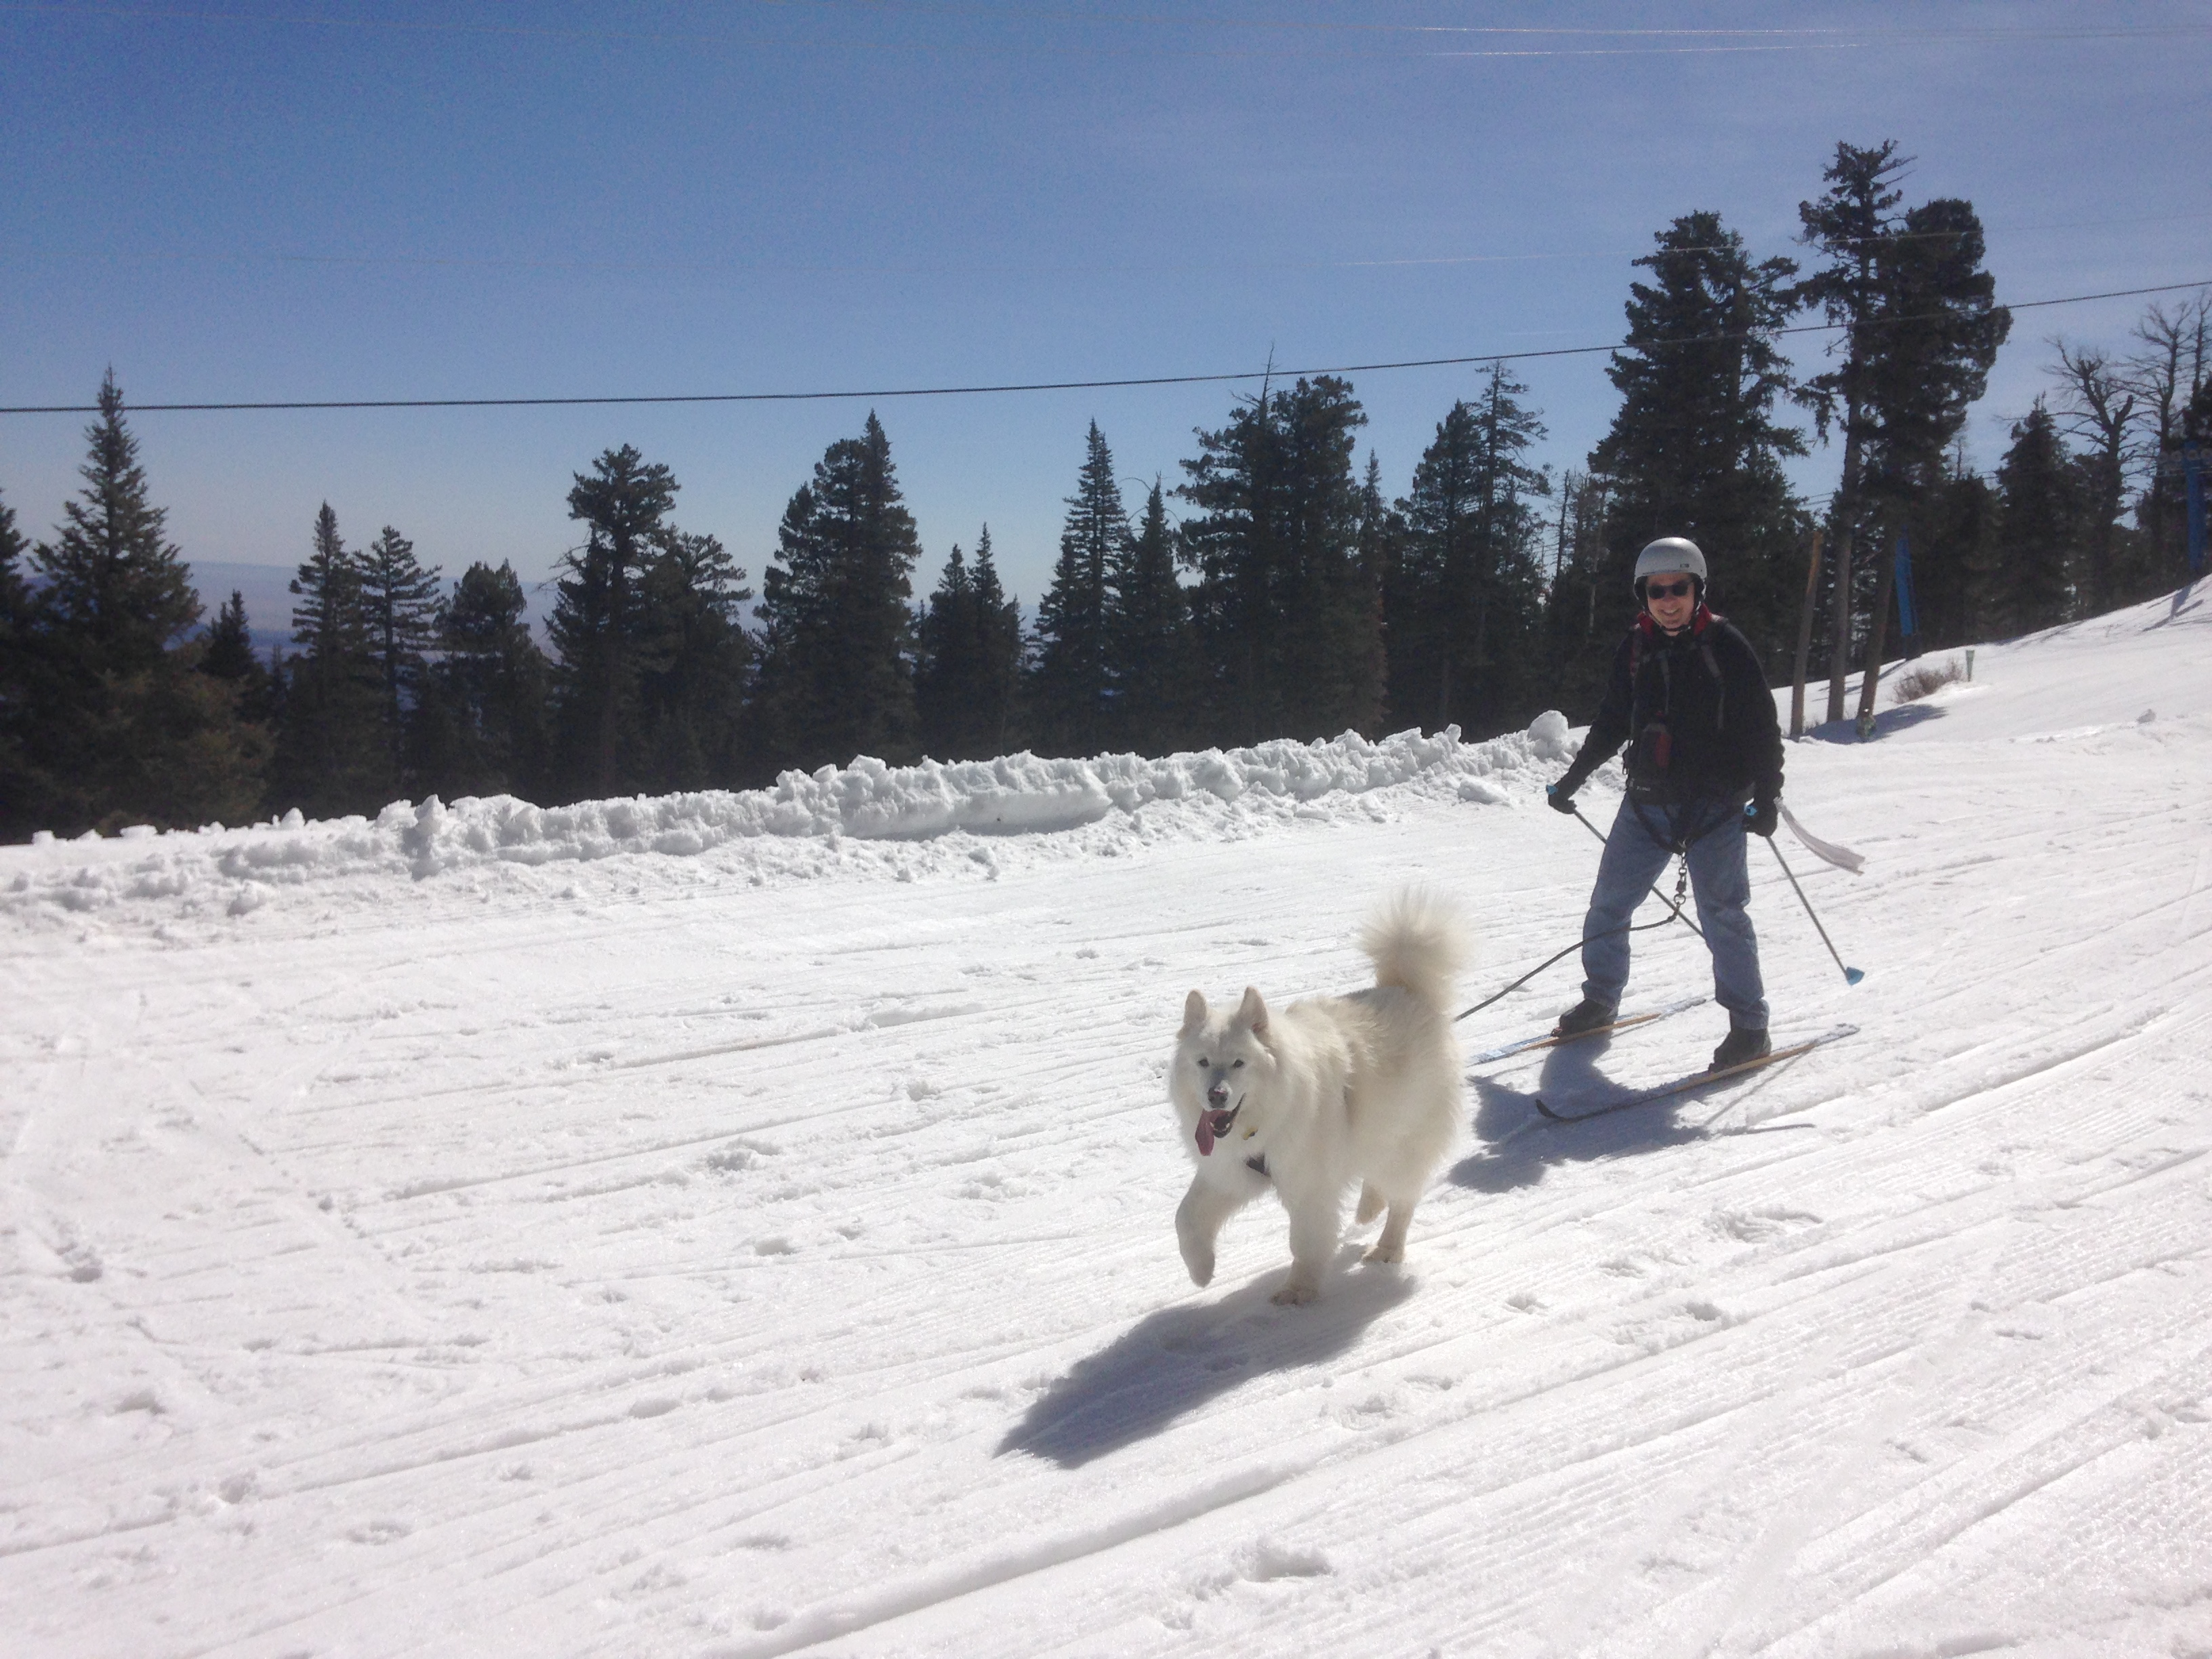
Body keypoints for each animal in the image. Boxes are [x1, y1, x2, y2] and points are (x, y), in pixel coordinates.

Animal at [1176, 889, 1469, 1309]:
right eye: (1202, 1062)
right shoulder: (1229, 1172)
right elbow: (1186, 1217)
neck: (1265, 1118)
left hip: (1406, 1140)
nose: (1216, 1096)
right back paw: (1368, 1211)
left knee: (1403, 1201)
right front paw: (1201, 1272)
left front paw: (1299, 1291)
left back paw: (1386, 1249)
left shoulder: (1309, 1188)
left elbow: (1305, 1243)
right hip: (1377, 1130)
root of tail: (1407, 991)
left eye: (1239, 1063)